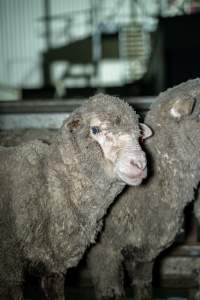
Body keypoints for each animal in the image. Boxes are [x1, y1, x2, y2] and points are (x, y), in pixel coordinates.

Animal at [0, 92, 152, 298]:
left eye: (140, 136)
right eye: (95, 129)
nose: (139, 164)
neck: (50, 184)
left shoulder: (54, 266)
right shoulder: (9, 267)